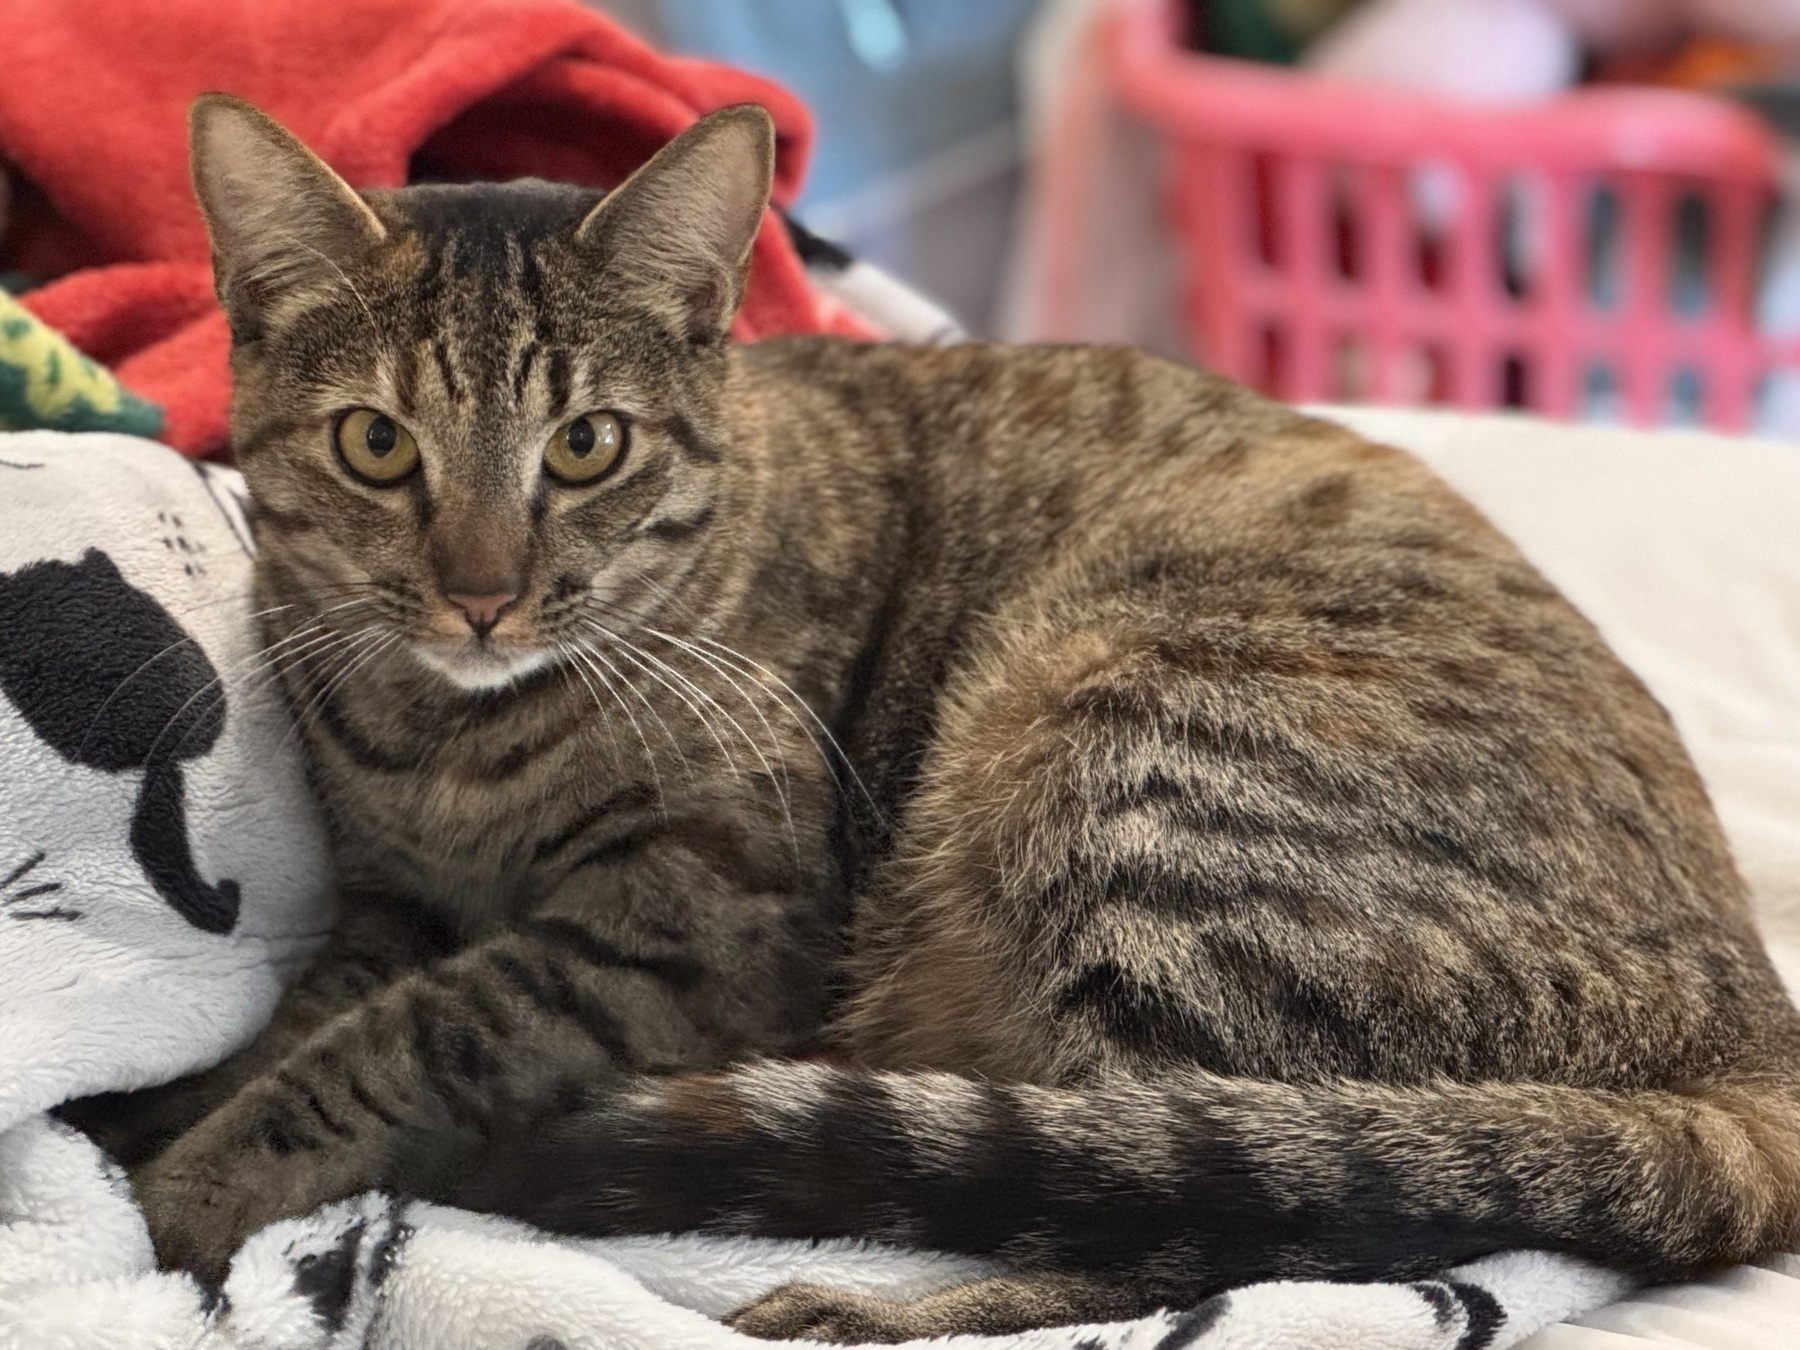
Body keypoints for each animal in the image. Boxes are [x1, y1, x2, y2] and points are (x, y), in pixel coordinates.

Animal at [81, 92, 1800, 1346]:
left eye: (585, 445)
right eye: (377, 443)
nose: (483, 592)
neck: (447, 739)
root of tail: (1758, 1023)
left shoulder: (697, 928)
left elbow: (397, 1039)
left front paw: (196, 1185)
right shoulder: (386, 897)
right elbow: (303, 1013)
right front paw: (163, 1107)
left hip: (1125, 759)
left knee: (1218, 1222)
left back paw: (872, 1305)